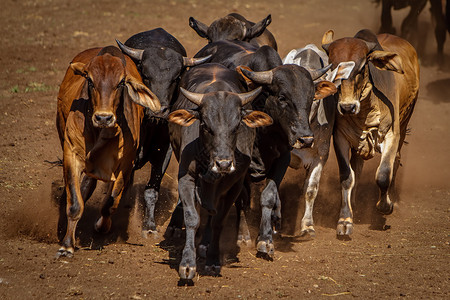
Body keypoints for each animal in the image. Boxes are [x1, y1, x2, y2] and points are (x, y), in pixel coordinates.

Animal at [55, 45, 160, 256]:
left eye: (121, 83)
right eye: (89, 80)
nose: (104, 117)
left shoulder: (125, 166)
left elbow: (110, 204)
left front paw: (101, 227)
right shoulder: (71, 155)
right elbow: (75, 203)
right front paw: (67, 245)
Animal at [322, 29, 420, 237]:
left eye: (361, 68)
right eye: (334, 69)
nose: (347, 107)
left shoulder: (392, 135)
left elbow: (383, 175)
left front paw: (385, 206)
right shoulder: (340, 138)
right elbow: (347, 177)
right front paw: (345, 220)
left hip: (405, 121)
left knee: (396, 160)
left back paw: (393, 199)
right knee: (356, 167)